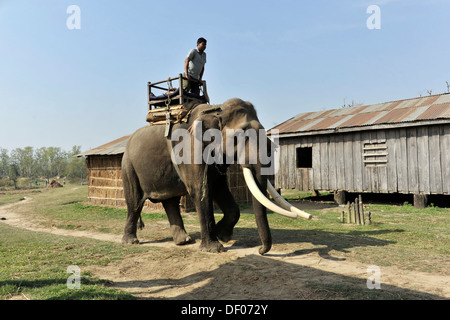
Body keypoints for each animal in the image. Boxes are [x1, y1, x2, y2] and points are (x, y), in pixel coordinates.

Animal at [119, 97, 312, 255]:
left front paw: (223, 236)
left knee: (170, 201)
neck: (216, 110)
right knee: (135, 202)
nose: (260, 250)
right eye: (239, 136)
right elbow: (200, 190)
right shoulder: (190, 149)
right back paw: (131, 241)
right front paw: (215, 248)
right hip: (128, 165)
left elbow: (220, 188)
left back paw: (184, 241)